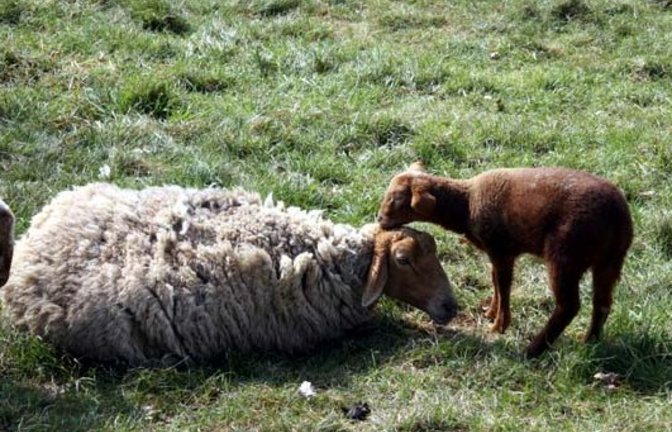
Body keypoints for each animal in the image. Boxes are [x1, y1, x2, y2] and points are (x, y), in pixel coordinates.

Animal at [377, 162, 633, 357]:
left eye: (397, 198)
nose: (378, 219)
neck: (466, 205)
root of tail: (618, 215)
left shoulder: (501, 249)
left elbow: (503, 284)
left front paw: (499, 325)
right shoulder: (496, 252)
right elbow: (495, 281)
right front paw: (491, 312)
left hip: (566, 255)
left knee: (569, 306)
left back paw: (532, 351)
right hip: (610, 260)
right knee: (602, 302)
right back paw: (590, 342)